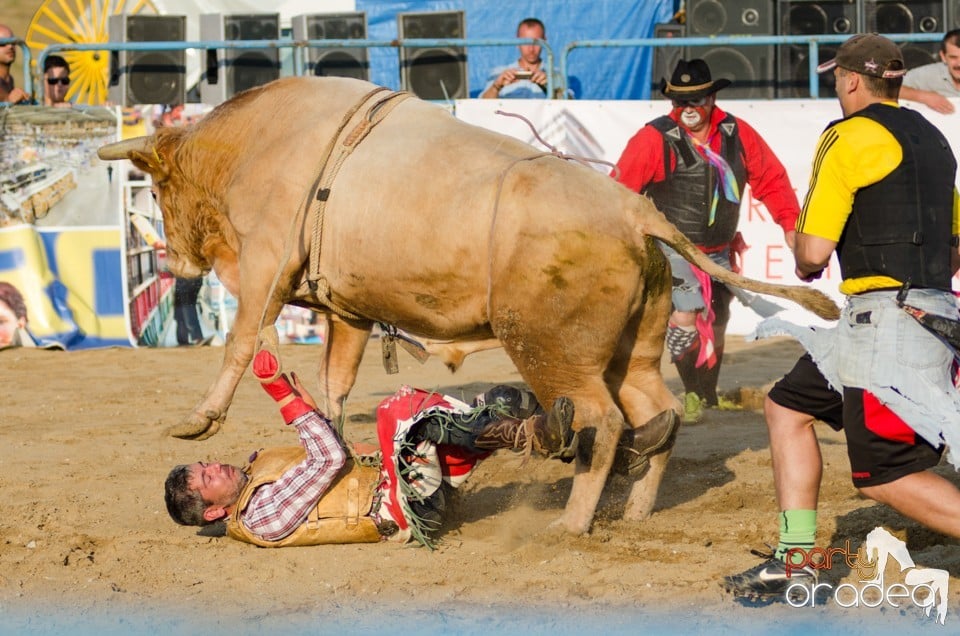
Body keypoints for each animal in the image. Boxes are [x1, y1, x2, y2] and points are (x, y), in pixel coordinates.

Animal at [95, 77, 832, 536]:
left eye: (155, 190)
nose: (174, 263)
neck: (254, 143)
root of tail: (632, 210)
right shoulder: (348, 312)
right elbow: (334, 384)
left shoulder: (263, 268)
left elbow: (244, 341)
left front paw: (200, 418)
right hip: (633, 352)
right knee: (658, 414)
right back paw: (636, 509)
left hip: (548, 351)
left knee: (600, 422)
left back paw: (572, 518)